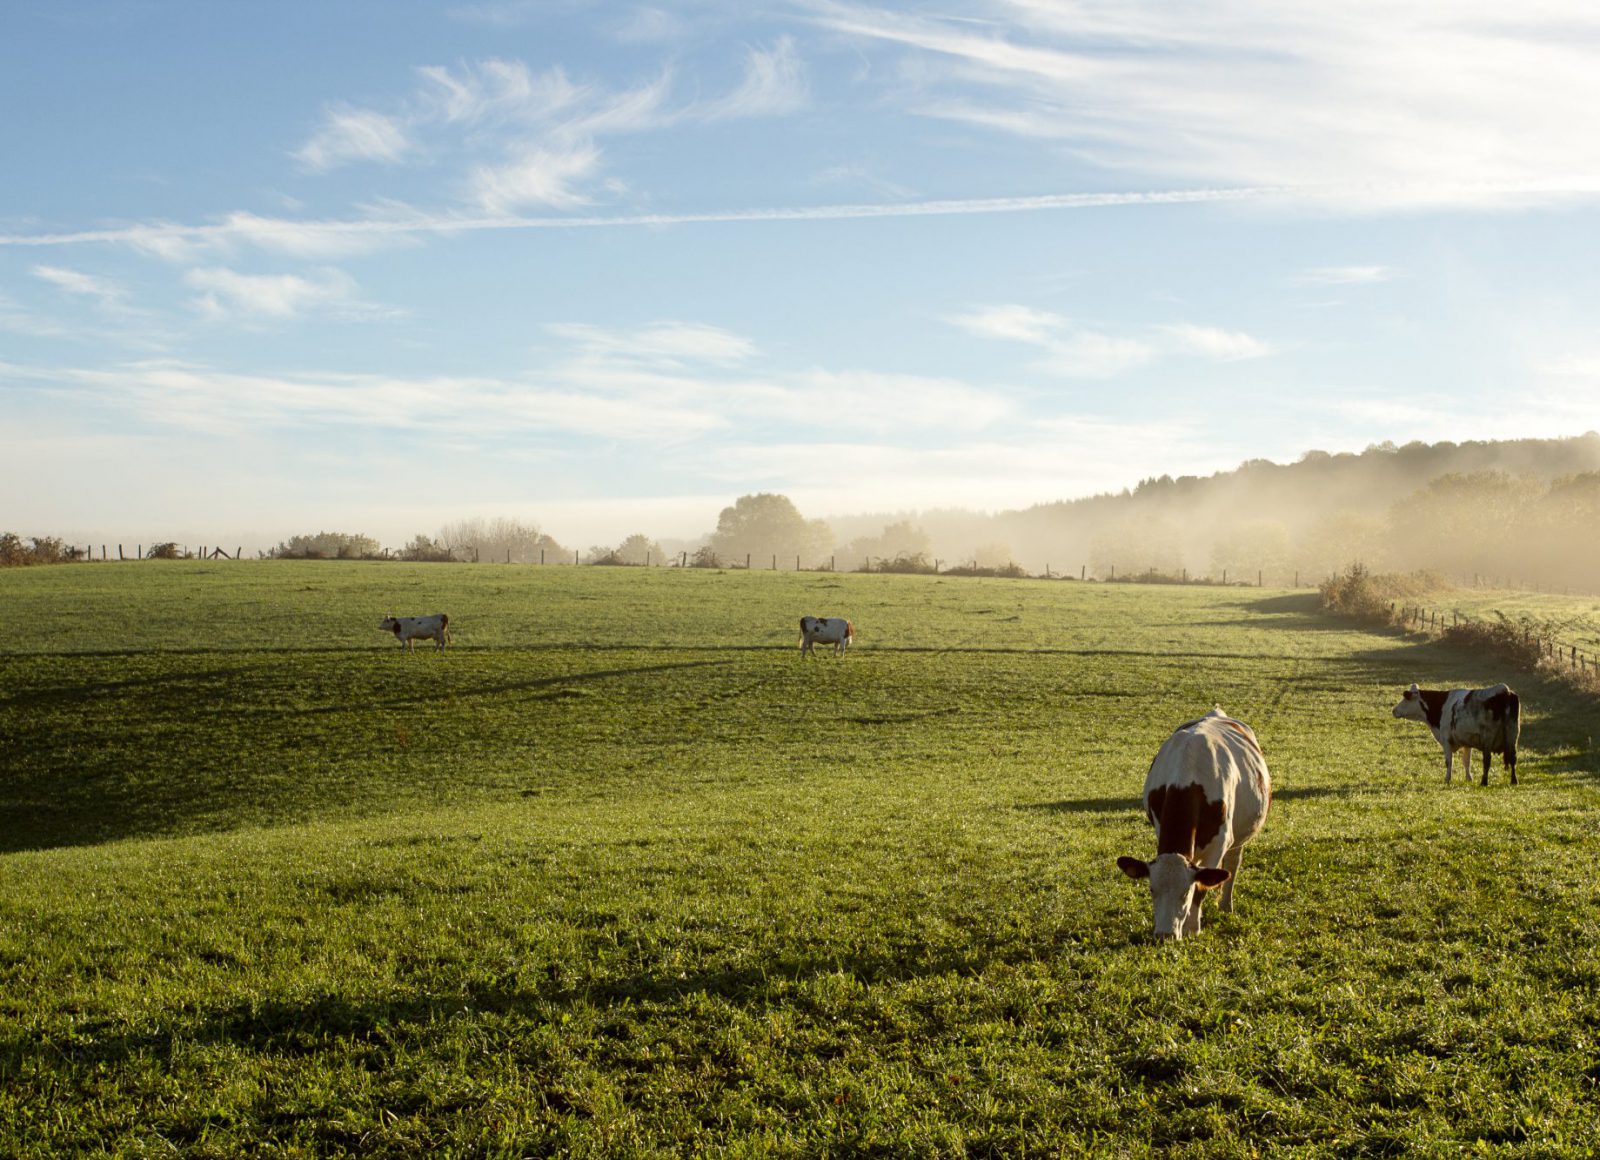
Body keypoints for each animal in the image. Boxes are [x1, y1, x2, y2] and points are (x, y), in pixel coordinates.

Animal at [1120, 707, 1267, 940]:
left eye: (1185, 892)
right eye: (1152, 889)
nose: (1165, 935)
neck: (1188, 778)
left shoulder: (1219, 843)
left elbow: (1201, 886)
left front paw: (1192, 928)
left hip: (1240, 837)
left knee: (1232, 864)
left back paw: (1225, 904)